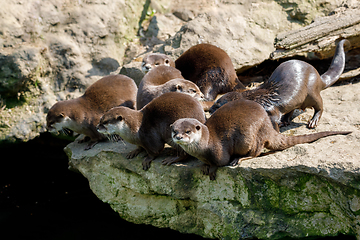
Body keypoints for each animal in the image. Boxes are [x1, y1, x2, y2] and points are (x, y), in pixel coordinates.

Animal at [172, 98, 352, 180]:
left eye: (187, 131)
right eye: (174, 131)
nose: (179, 136)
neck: (206, 145)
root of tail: (267, 124)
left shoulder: (219, 151)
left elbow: (220, 162)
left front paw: (212, 169)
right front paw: (204, 165)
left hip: (250, 136)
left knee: (256, 151)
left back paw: (239, 159)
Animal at [210, 39, 350, 130]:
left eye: (218, 105)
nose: (210, 109)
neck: (257, 100)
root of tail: (318, 76)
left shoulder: (270, 109)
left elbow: (274, 117)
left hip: (312, 91)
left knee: (319, 105)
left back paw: (313, 121)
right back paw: (285, 121)